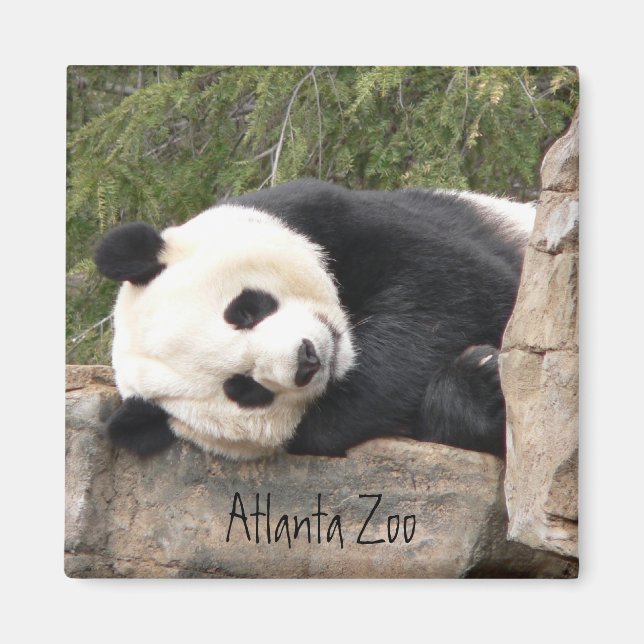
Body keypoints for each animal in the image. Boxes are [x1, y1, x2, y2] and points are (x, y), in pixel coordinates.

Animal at [94, 179, 534, 460]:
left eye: (245, 310)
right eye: (243, 388)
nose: (307, 359)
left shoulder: (323, 215)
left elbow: (451, 286)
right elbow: (336, 423)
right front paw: (479, 380)